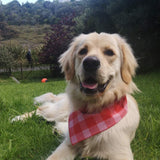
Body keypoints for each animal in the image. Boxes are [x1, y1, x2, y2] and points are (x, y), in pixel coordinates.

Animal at [12, 32, 140, 160]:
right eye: (83, 51)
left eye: (109, 52)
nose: (90, 63)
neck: (94, 112)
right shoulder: (67, 145)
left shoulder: (121, 153)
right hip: (59, 111)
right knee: (41, 109)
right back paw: (17, 118)